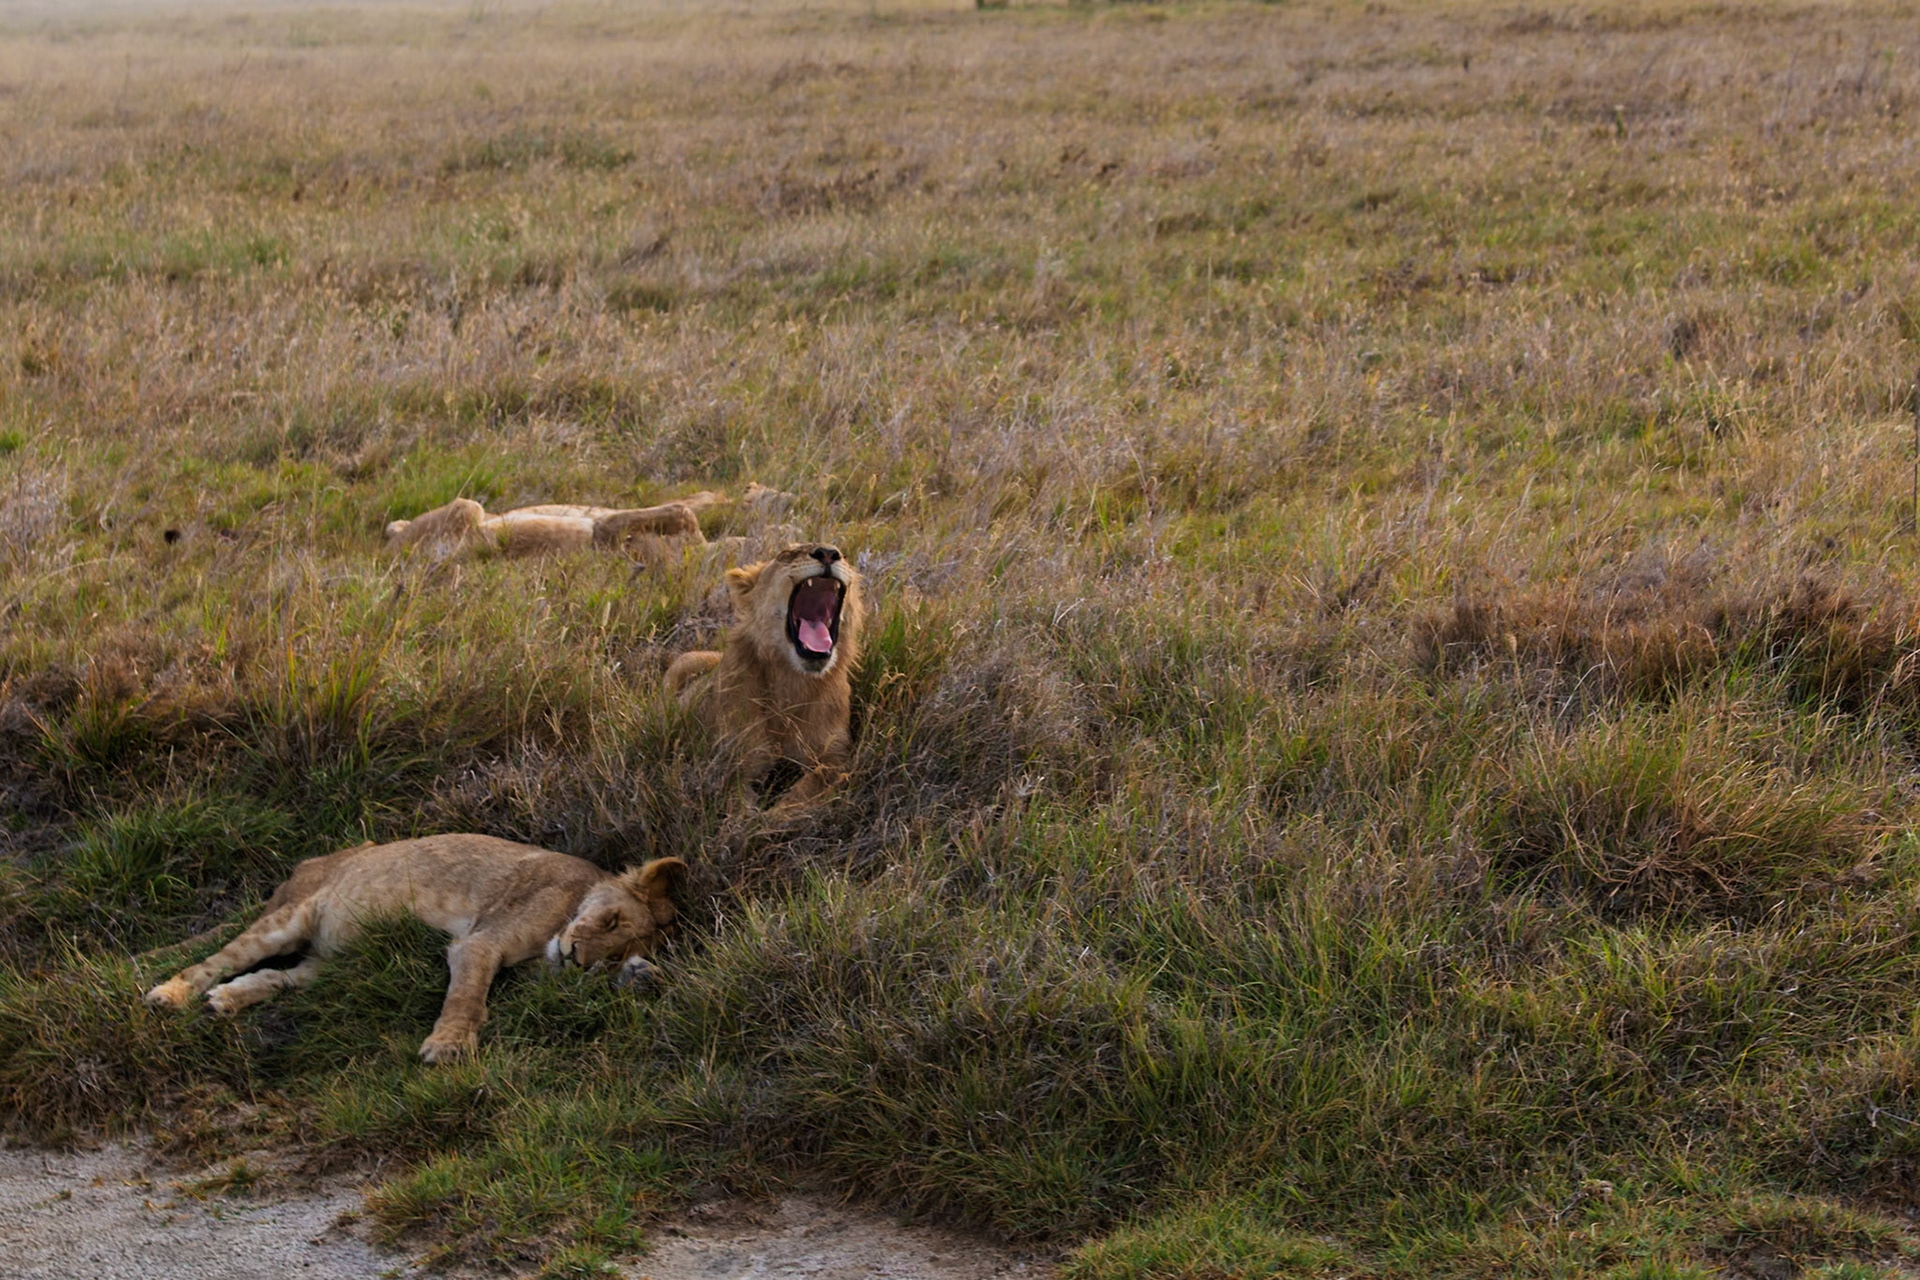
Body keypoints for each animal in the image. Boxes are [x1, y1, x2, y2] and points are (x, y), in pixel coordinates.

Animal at [144, 836, 685, 1064]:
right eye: (610, 920)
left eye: (611, 957)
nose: (576, 958)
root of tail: (308, 863)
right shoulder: (480, 942)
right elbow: (467, 998)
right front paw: (447, 1046)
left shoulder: (533, 973)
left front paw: (643, 976)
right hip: (288, 918)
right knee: (214, 962)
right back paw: (170, 996)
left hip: (328, 964)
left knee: (277, 977)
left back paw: (226, 1002)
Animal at [665, 543, 862, 817]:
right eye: (785, 555)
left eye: (842, 555)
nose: (827, 553)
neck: (793, 681)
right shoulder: (733, 755)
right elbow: (734, 794)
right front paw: (750, 819)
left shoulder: (837, 755)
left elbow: (814, 783)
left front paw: (779, 815)